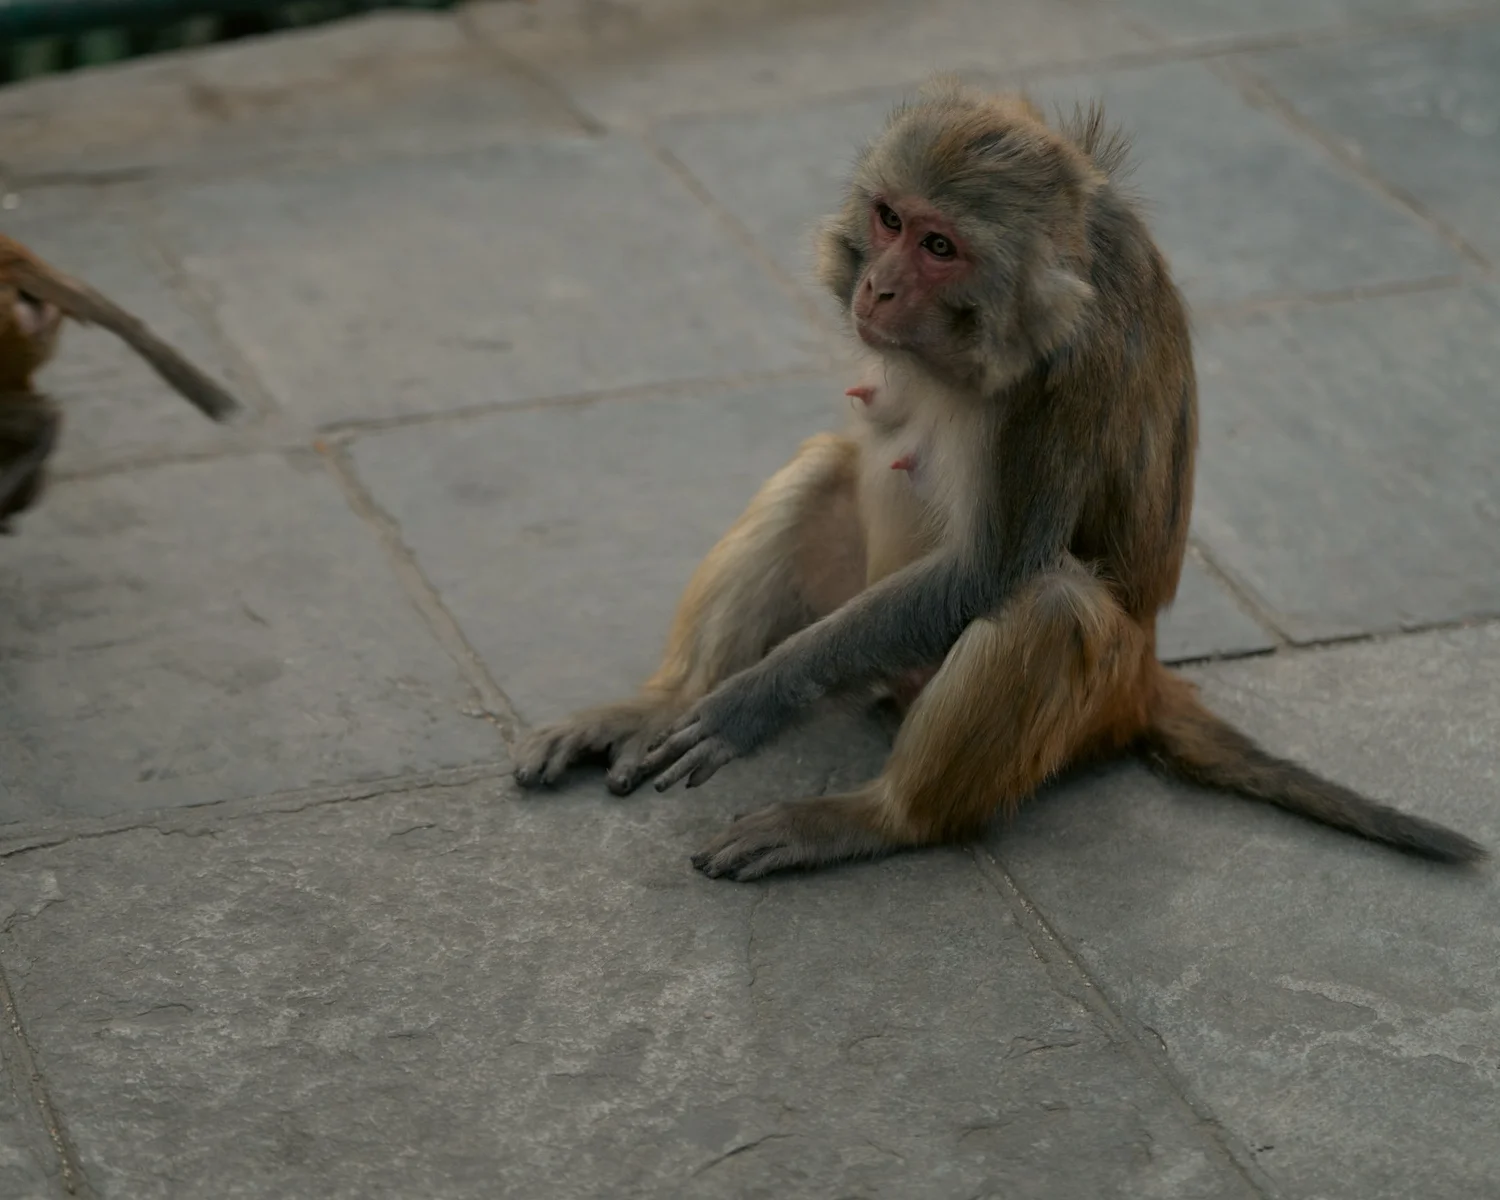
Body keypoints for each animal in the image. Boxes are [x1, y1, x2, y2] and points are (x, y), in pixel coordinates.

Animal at [514, 78, 1487, 880]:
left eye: (941, 247)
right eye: (889, 220)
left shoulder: (1071, 366)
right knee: (827, 464)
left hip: (1085, 708)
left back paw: (877, 818)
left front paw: (753, 703)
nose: (877, 288)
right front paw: (698, 702)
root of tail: (1147, 678)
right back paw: (660, 703)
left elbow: (994, 568)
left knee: (1047, 603)